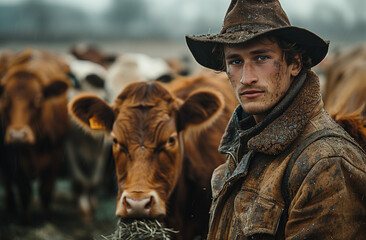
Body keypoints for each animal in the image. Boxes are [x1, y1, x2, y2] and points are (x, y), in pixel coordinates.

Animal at [0, 47, 70, 222]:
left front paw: (47, 217)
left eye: (38, 99)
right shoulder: (15, 158)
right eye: (5, 99)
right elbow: (24, 192)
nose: (18, 135)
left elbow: (46, 190)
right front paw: (25, 218)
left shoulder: (56, 154)